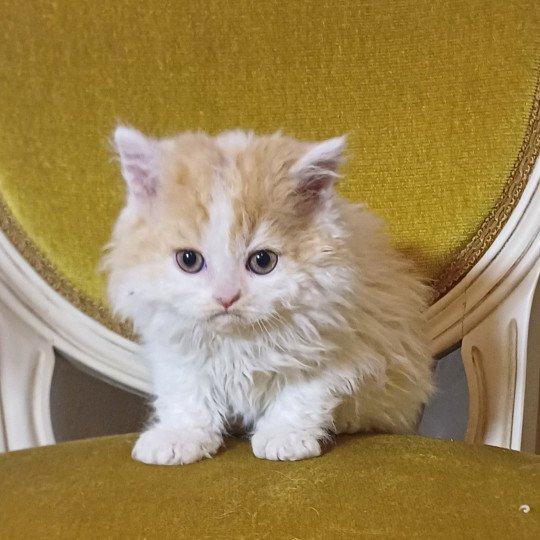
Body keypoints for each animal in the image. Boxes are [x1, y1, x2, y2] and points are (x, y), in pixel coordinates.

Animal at [103, 125, 434, 464]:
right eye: (189, 260)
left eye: (262, 261)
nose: (226, 297)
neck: (238, 342)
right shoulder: (175, 349)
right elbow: (187, 394)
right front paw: (180, 436)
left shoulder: (337, 344)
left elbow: (300, 395)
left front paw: (284, 436)